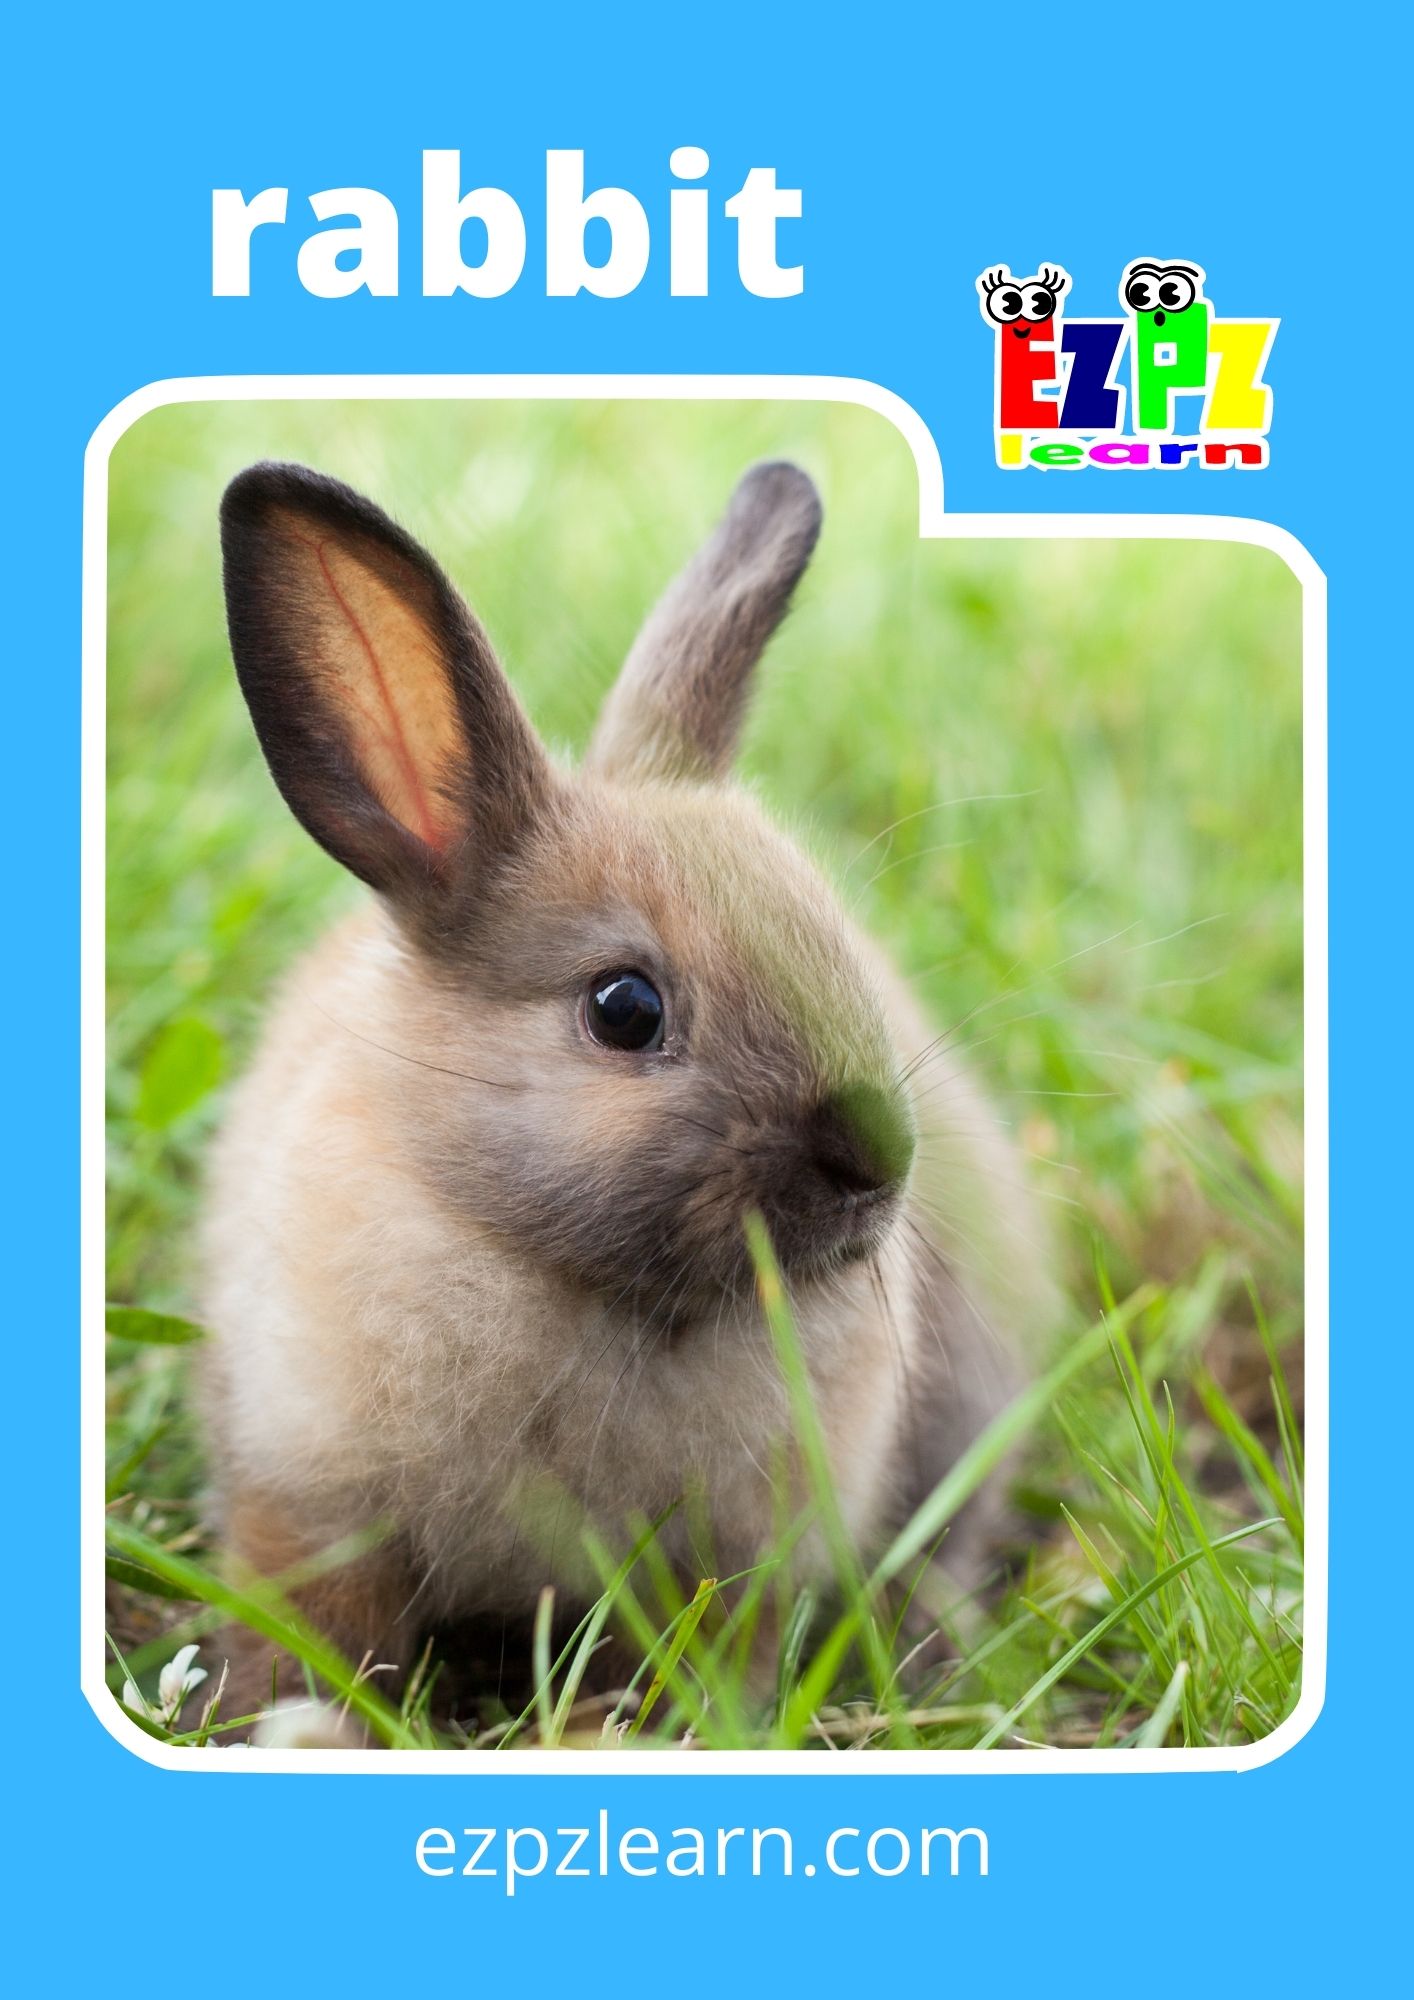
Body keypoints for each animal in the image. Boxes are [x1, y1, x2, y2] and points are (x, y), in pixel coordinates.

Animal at [200, 456, 1055, 1726]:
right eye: (623, 1008)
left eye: (839, 943)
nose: (874, 1164)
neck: (577, 1279)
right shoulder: (307, 1500)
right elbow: (314, 1618)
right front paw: (284, 1714)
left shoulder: (728, 1565)